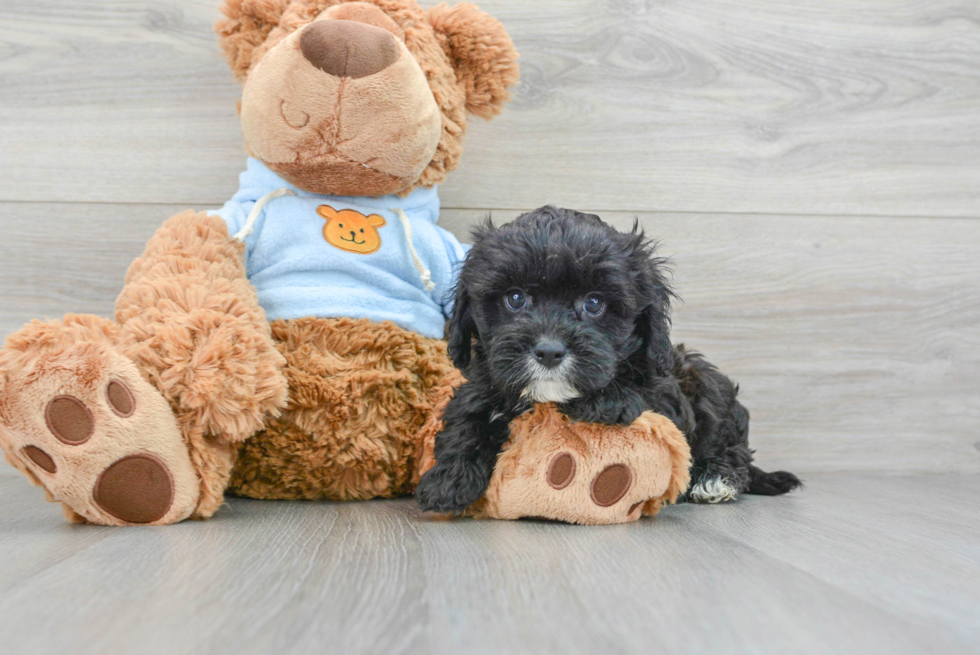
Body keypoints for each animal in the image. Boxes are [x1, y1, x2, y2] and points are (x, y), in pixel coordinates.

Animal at [418, 208, 800, 516]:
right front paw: (448, 479)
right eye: (515, 298)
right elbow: (467, 413)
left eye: (594, 303)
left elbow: (641, 392)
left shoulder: (666, 391)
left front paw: (607, 399)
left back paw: (715, 480)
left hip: (705, 382)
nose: (549, 351)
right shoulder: (485, 380)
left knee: (732, 447)